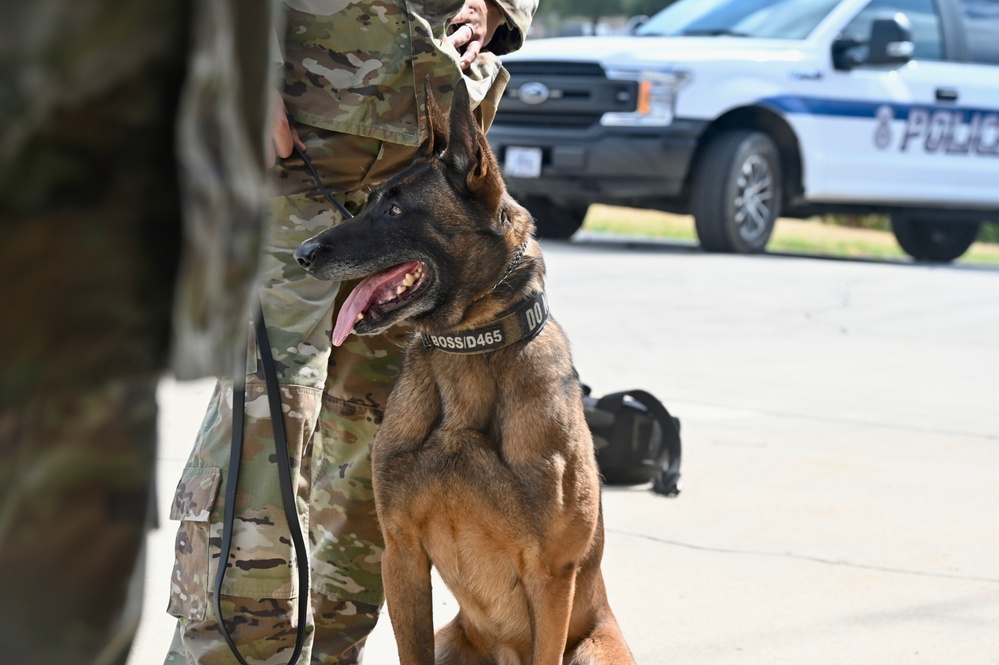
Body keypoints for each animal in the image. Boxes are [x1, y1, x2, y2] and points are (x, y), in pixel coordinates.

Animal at [292, 79, 632, 664]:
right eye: (371, 201)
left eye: (396, 210)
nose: (303, 252)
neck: (469, 349)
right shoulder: (402, 552)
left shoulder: (552, 577)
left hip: (592, 649)